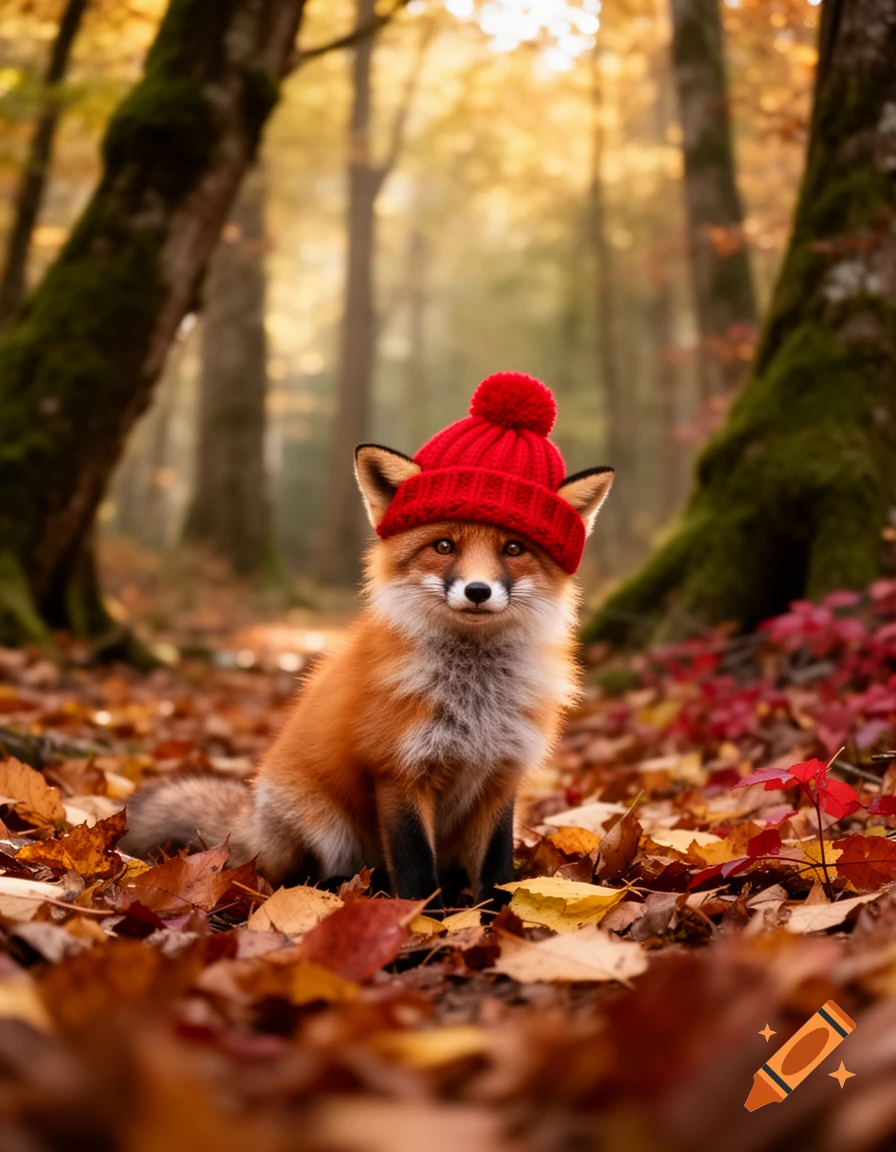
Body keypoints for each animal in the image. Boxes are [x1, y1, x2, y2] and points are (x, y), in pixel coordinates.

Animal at [122, 373, 613, 904]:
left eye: (514, 549)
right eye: (444, 546)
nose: (478, 590)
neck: (474, 701)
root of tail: (253, 820)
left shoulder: (501, 777)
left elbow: (497, 867)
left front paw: (500, 914)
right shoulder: (397, 773)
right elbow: (415, 865)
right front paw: (424, 916)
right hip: (322, 826)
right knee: (299, 875)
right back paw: (346, 889)